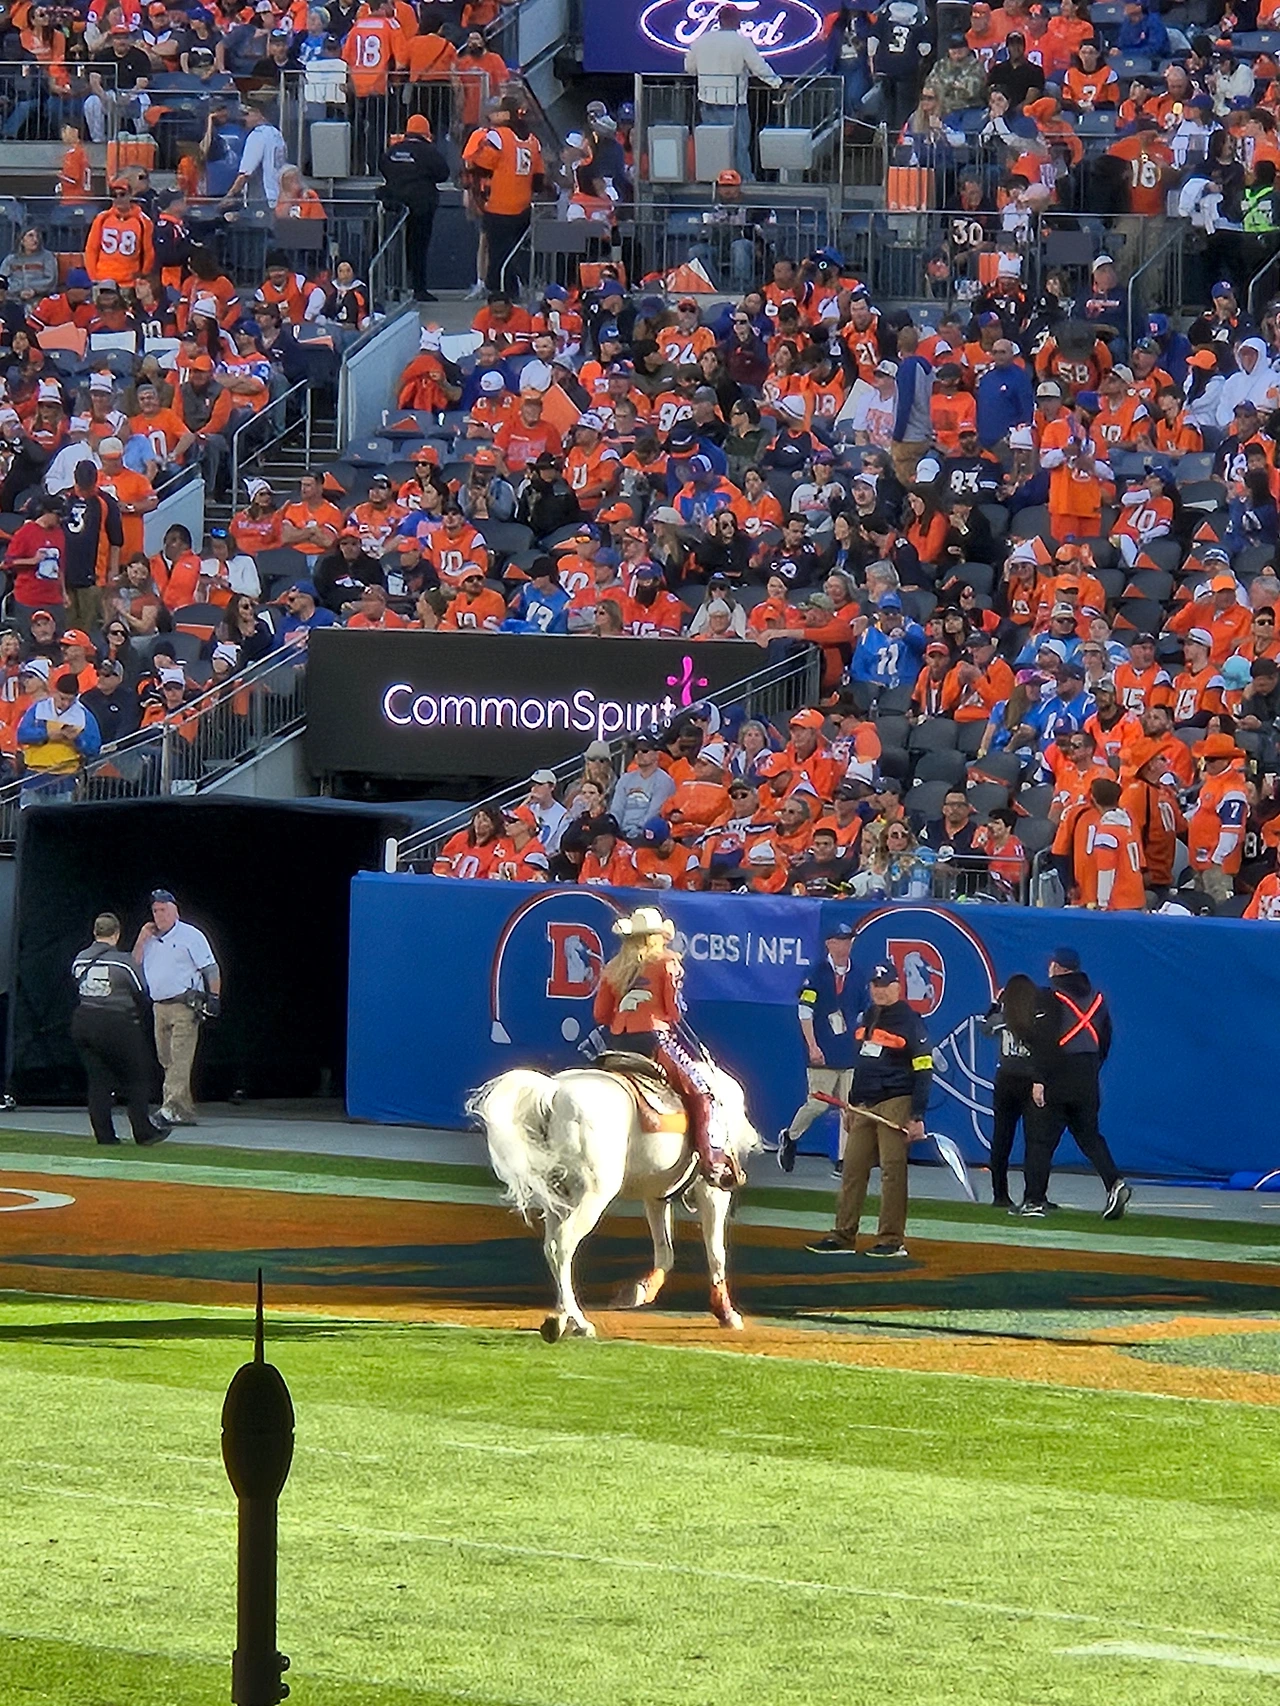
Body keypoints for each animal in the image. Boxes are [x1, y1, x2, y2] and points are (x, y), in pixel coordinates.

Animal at [467, 1059, 761, 1342]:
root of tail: (554, 1092)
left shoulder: (656, 1194)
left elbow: (665, 1251)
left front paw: (641, 1291)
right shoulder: (712, 1190)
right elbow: (716, 1253)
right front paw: (726, 1313)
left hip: (559, 1198)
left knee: (551, 1247)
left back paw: (562, 1318)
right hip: (593, 1195)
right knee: (562, 1246)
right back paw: (577, 1322)